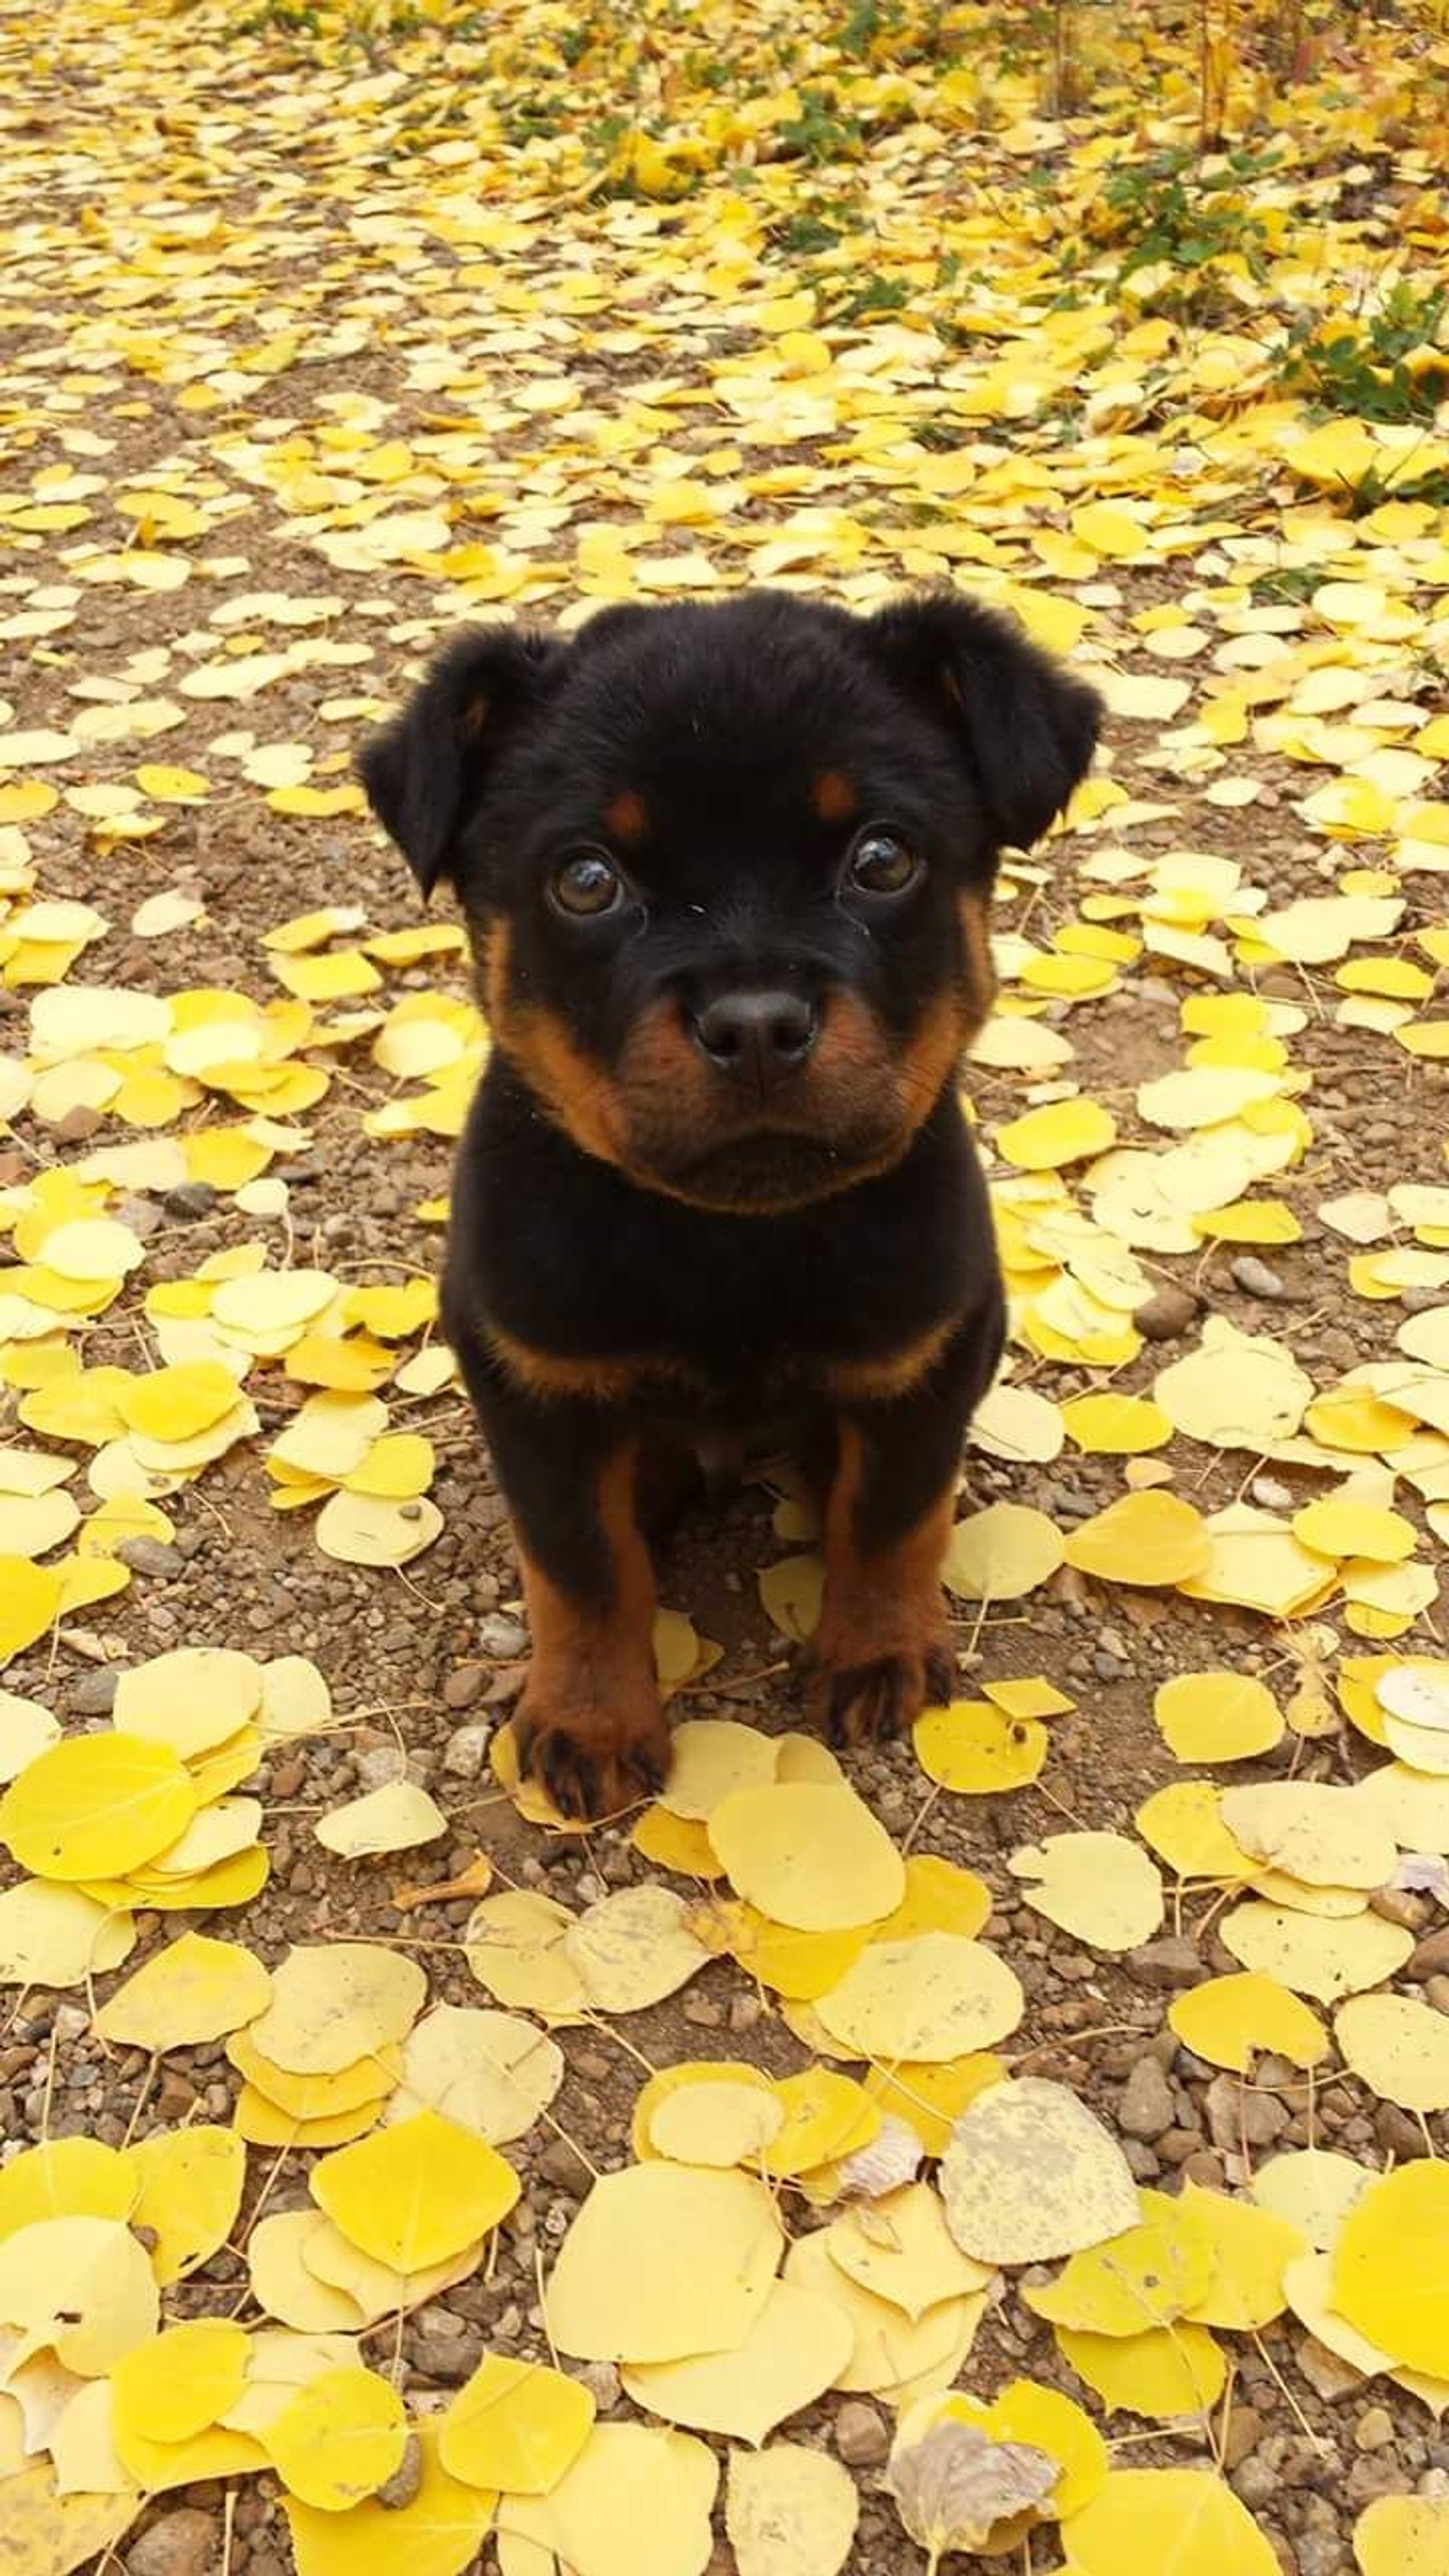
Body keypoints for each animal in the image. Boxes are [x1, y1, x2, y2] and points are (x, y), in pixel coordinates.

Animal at [360, 592, 1101, 1823]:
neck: (727, 1243)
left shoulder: (928, 1357)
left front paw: (875, 1654)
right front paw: (590, 1720)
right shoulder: (535, 1386)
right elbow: (581, 1568)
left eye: (882, 859)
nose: (755, 1021)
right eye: (586, 880)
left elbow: (891, 1518)